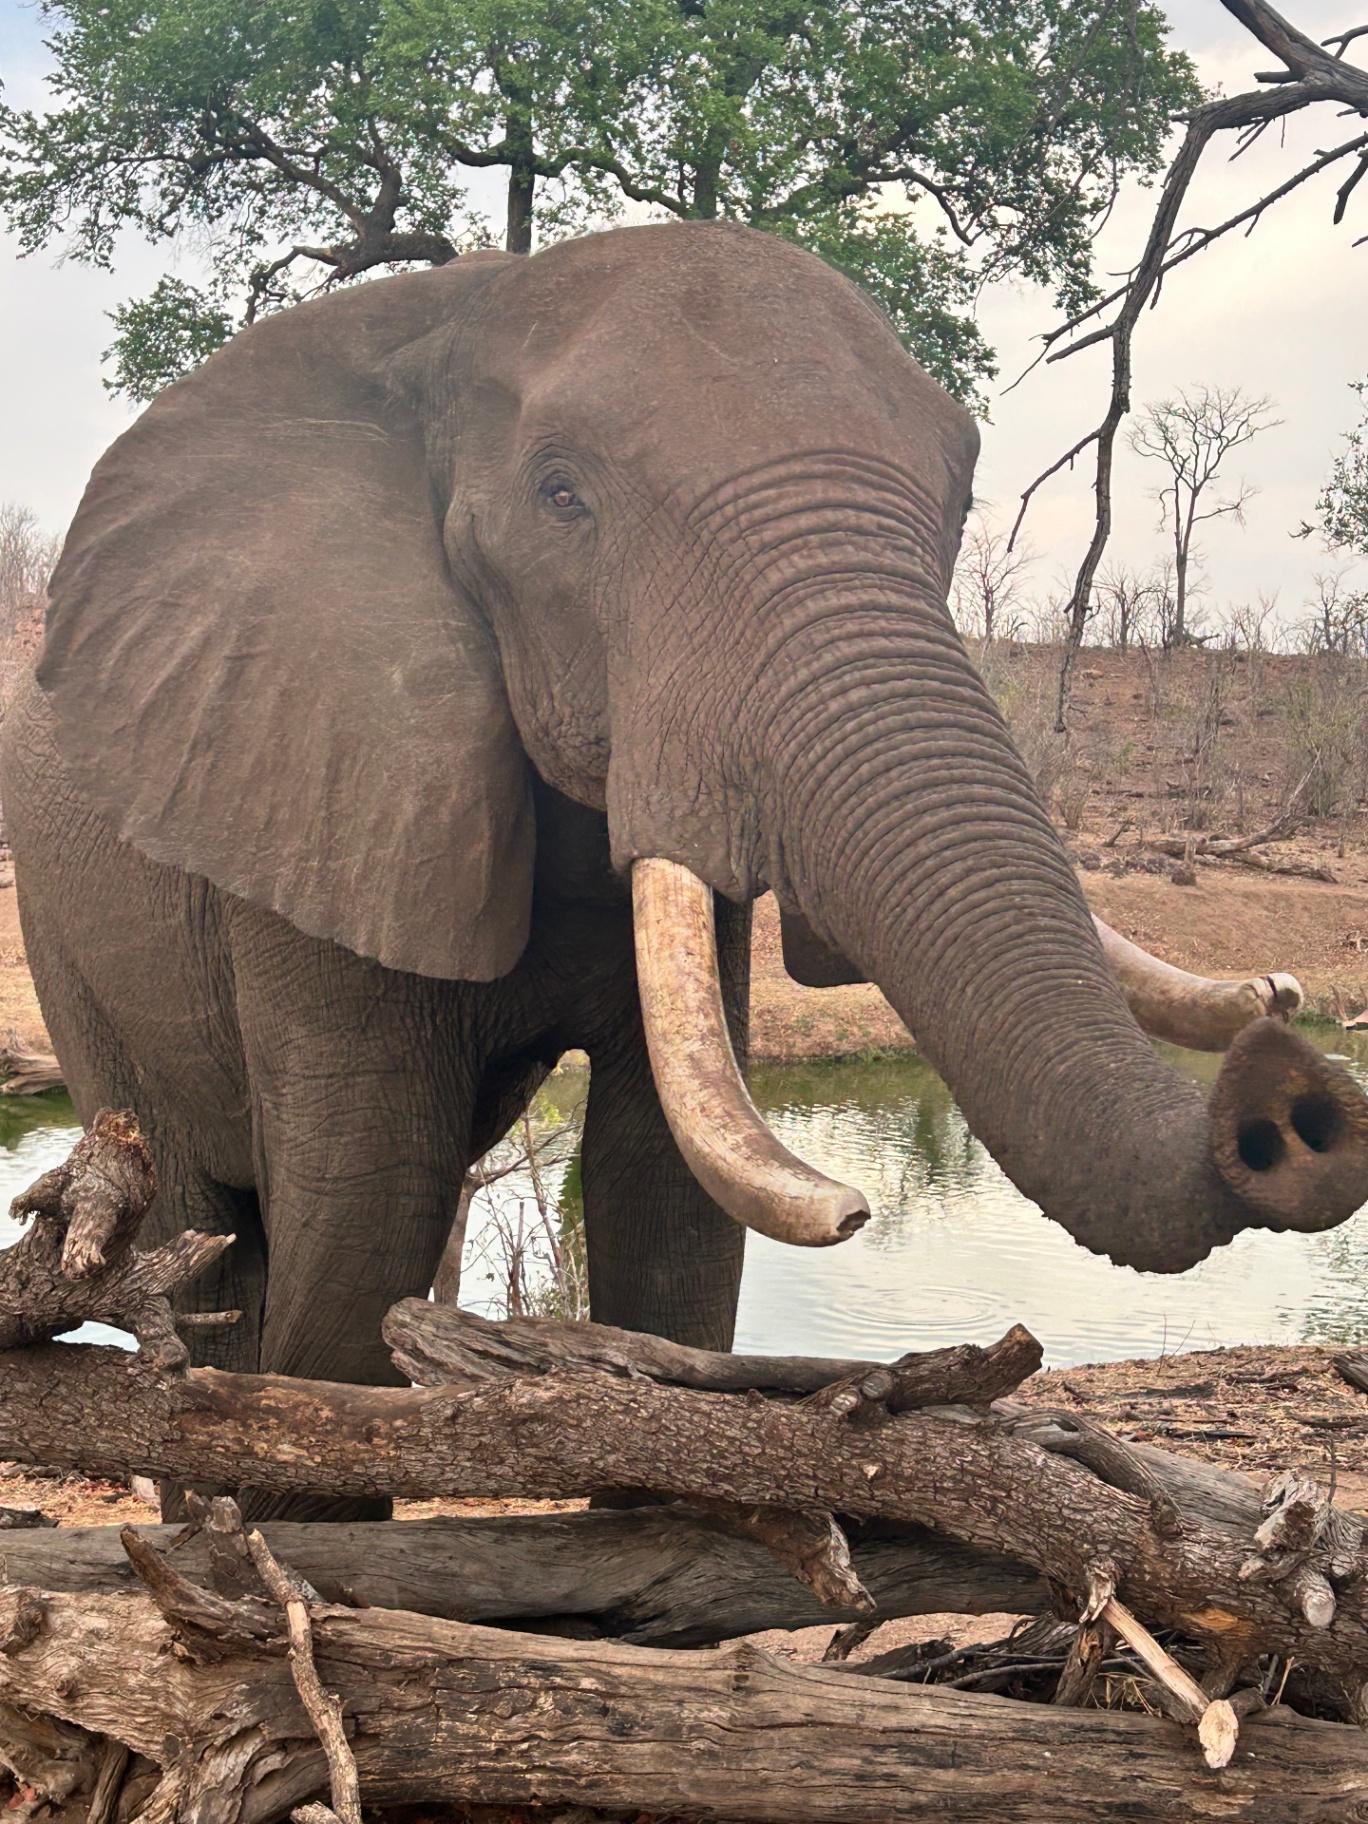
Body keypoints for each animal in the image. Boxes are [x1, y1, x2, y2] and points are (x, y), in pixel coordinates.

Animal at [5, 221, 1367, 1521]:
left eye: (958, 496)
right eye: (562, 496)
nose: (1295, 1095)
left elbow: (670, 1219)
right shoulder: (327, 773)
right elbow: (363, 1229)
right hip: (71, 940)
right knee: (205, 1219)